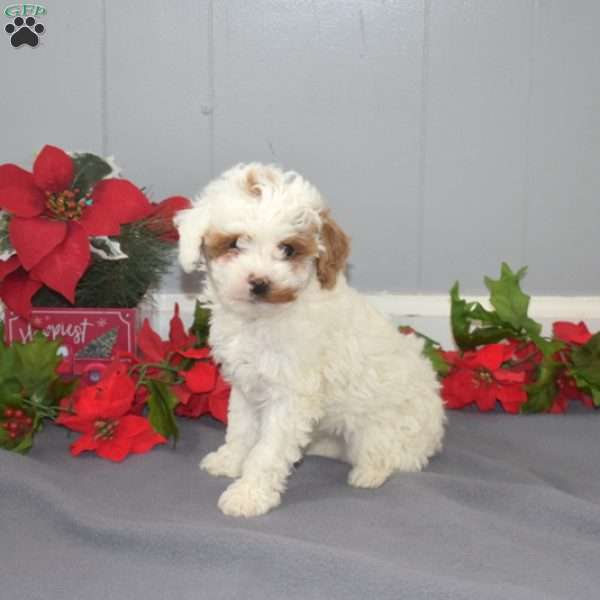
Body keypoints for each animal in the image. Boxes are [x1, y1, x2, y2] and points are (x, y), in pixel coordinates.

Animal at [175, 163, 446, 516]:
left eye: (287, 249)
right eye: (234, 243)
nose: (260, 282)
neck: (261, 319)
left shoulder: (291, 397)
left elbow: (267, 451)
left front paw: (249, 494)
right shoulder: (247, 386)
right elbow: (241, 429)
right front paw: (230, 461)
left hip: (386, 427)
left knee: (395, 456)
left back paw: (369, 473)